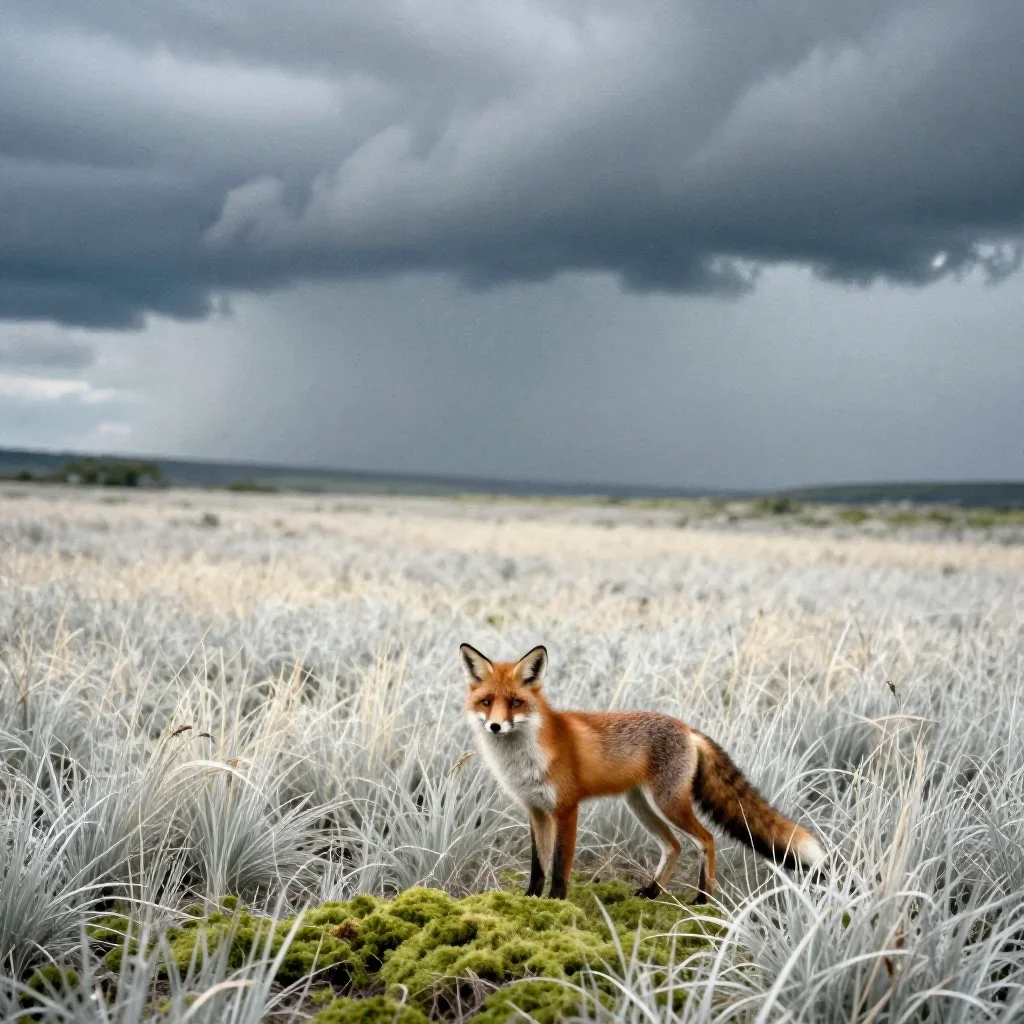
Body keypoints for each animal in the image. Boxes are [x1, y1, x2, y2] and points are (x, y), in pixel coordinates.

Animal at [461, 642, 825, 902]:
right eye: (487, 702)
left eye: (515, 703)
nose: (495, 726)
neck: (524, 759)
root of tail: (687, 728)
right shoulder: (535, 810)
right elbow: (538, 865)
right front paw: (531, 900)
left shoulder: (566, 808)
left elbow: (560, 865)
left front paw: (556, 902)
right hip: (641, 806)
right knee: (674, 846)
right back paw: (652, 892)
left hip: (668, 804)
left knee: (706, 839)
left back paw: (702, 899)